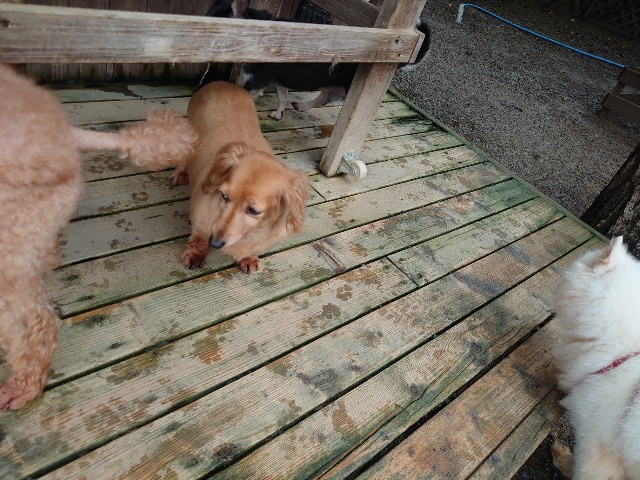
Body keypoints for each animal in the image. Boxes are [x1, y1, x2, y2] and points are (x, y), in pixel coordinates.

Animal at [172, 81, 309, 273]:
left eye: (253, 211)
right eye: (224, 196)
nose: (215, 243)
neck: (250, 233)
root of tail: (220, 82)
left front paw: (249, 258)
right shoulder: (200, 221)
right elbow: (199, 237)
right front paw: (195, 254)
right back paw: (181, 173)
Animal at [202, 0, 432, 120]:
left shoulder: (256, 83)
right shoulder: (279, 82)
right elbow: (282, 97)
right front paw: (278, 113)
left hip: (350, 88)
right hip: (332, 86)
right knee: (323, 98)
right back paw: (301, 106)